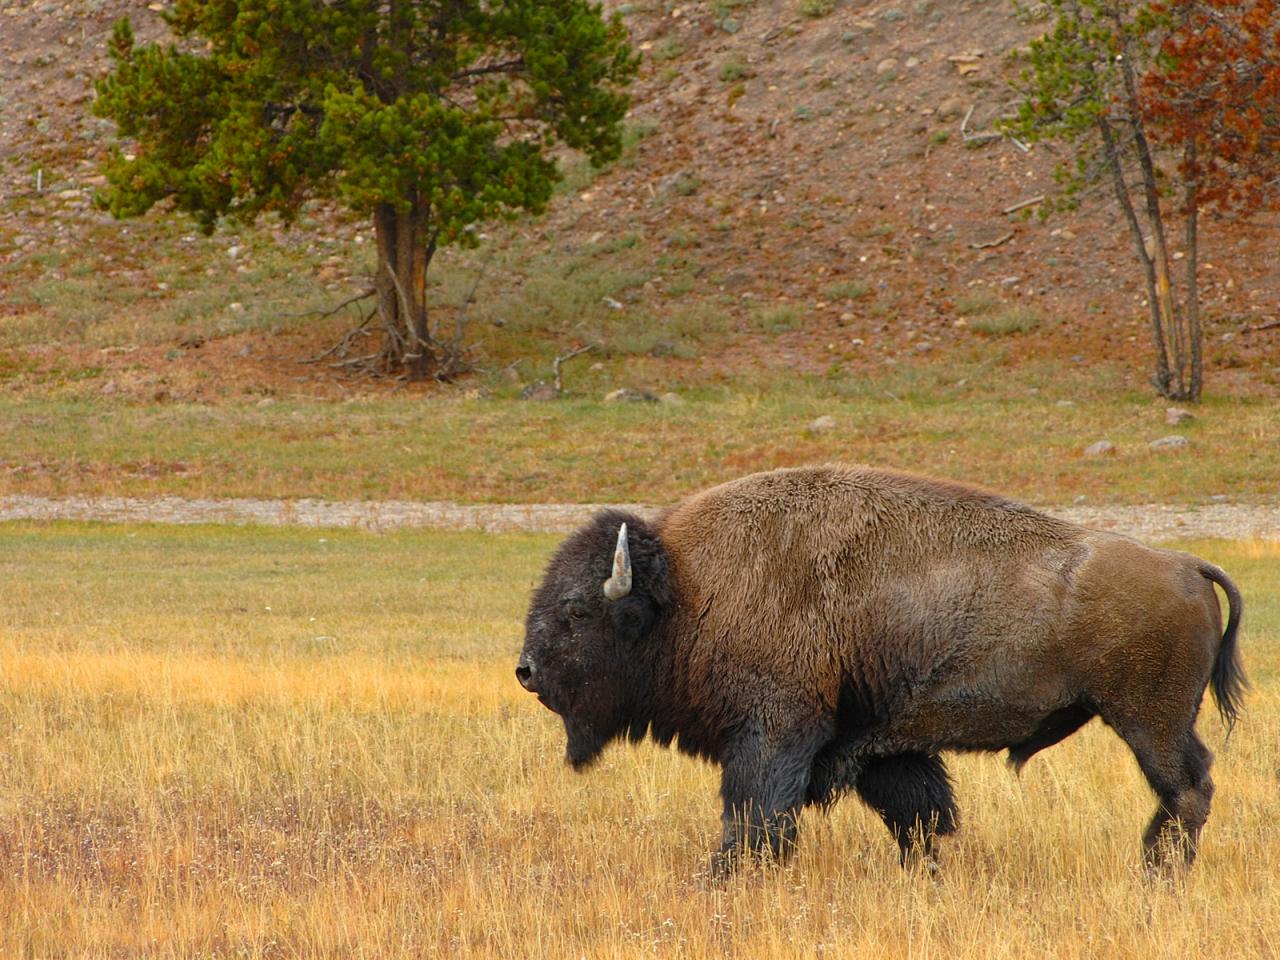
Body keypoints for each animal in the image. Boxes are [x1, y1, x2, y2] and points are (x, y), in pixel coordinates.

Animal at [514, 465, 1244, 880]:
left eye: (577, 610)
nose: (525, 671)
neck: (689, 588)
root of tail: (1185, 563)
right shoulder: (882, 748)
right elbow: (918, 816)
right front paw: (924, 877)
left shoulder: (774, 733)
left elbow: (755, 816)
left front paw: (720, 878)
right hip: (1155, 721)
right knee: (1190, 788)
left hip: (1148, 721)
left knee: (1188, 789)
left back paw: (1157, 873)